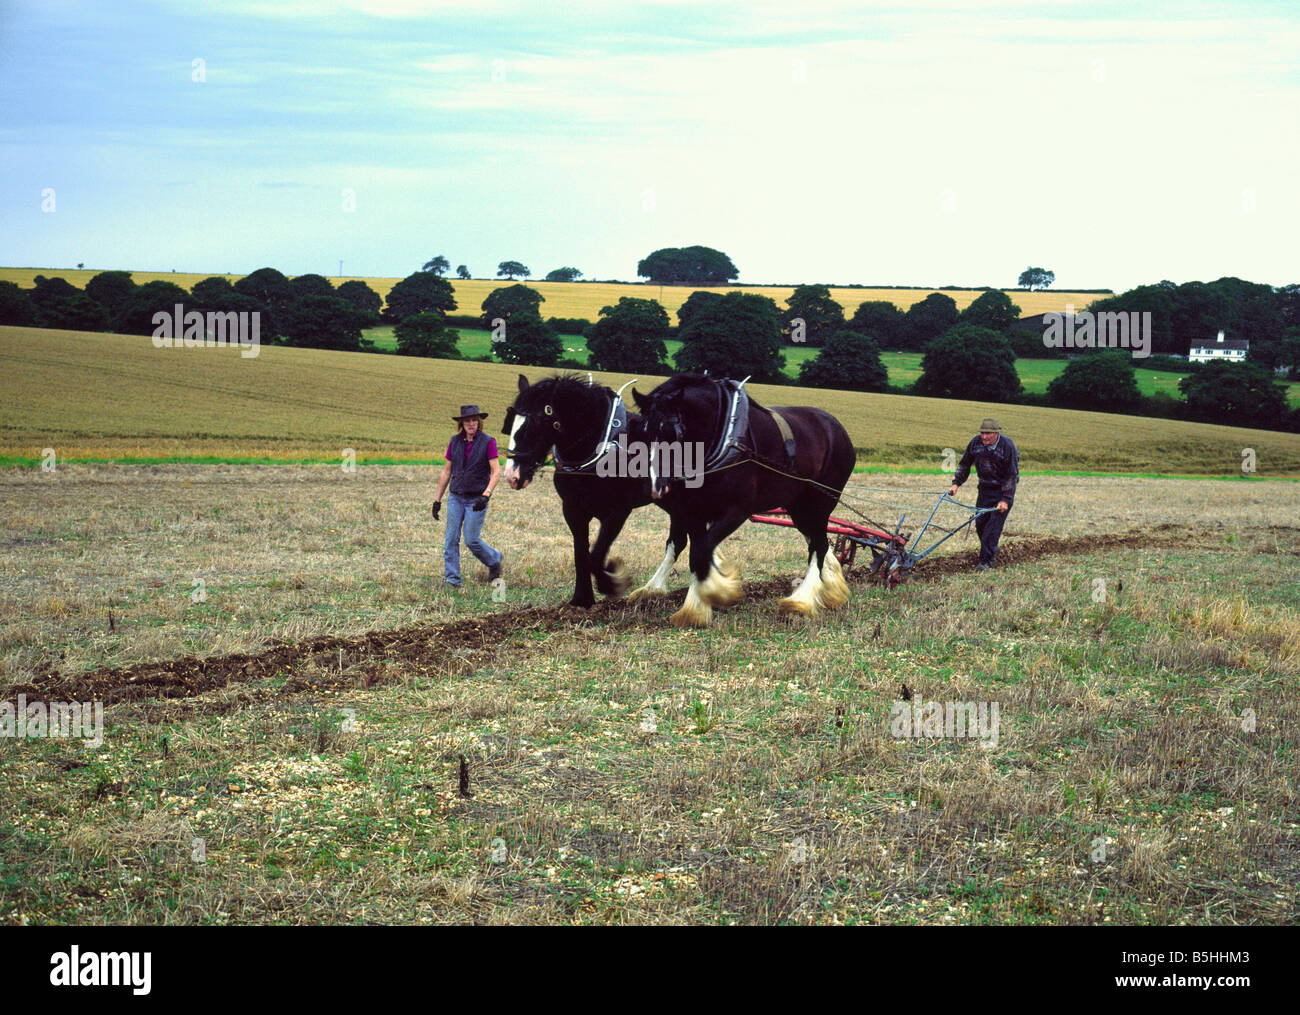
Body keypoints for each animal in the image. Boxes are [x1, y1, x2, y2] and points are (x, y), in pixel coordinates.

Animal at [502, 373, 688, 609]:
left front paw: (612, 583)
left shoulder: (618, 511)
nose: (512, 475)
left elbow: (596, 555)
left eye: (533, 425)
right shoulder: (573, 510)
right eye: (511, 423)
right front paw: (582, 598)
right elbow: (581, 554)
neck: (599, 446)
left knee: (681, 540)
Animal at [632, 373, 856, 627]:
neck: (722, 435)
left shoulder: (736, 511)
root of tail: (838, 428)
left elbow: (700, 551)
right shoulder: (691, 510)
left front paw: (704, 601)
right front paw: (655, 589)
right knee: (817, 543)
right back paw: (829, 588)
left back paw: (802, 601)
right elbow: (683, 546)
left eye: (673, 434)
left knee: (819, 545)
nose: (654, 486)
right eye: (641, 433)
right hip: (798, 508)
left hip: (820, 503)